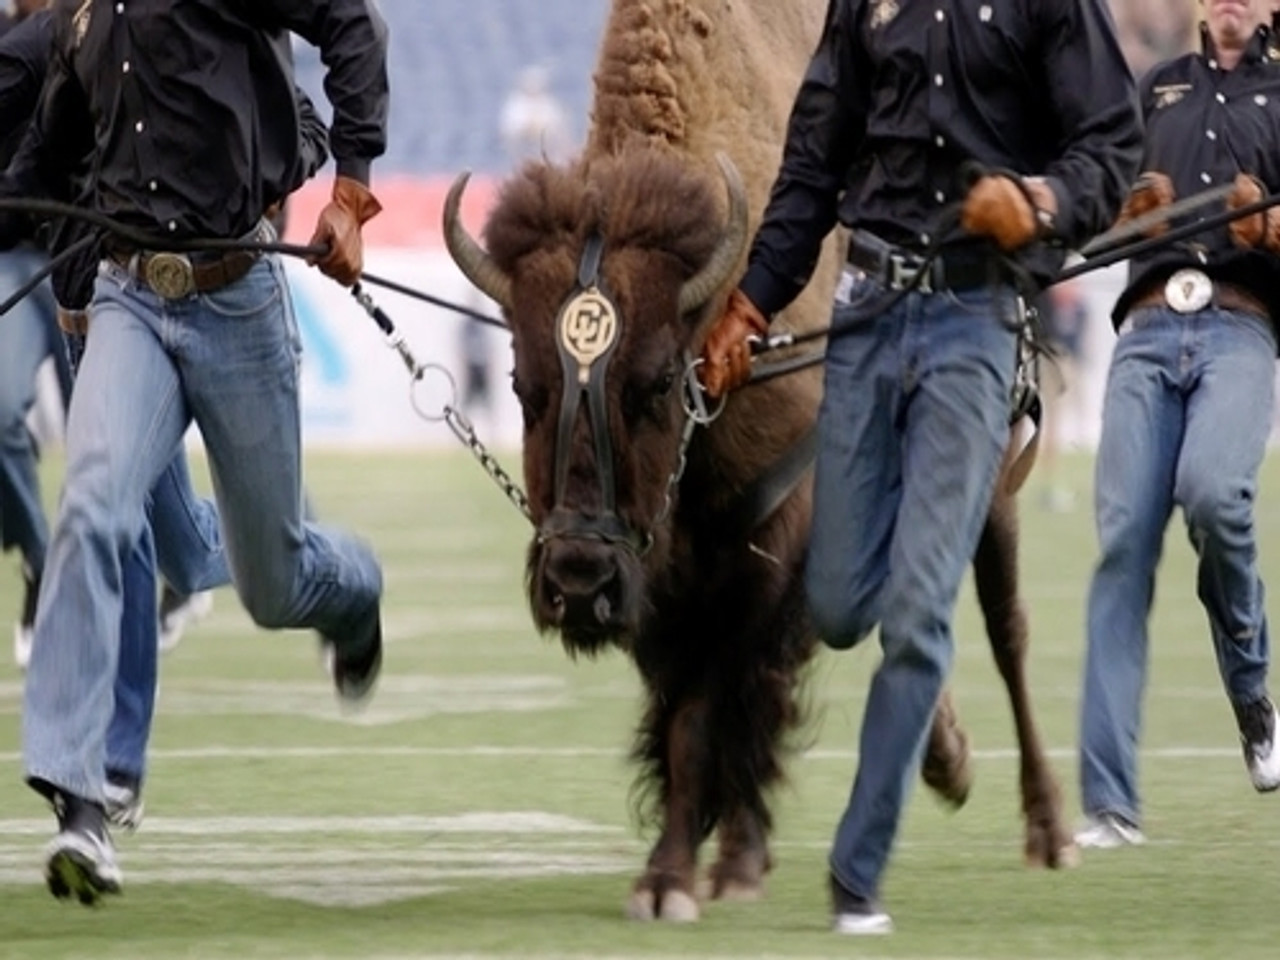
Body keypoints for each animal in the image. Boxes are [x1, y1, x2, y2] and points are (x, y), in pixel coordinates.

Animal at [445, 0, 1075, 926]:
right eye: (525, 387)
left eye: (657, 383)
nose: (577, 582)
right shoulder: (664, 580)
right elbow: (690, 710)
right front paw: (694, 865)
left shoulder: (763, 550)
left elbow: (719, 706)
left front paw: (695, 875)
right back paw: (946, 760)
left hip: (989, 485)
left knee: (1007, 629)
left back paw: (1047, 828)